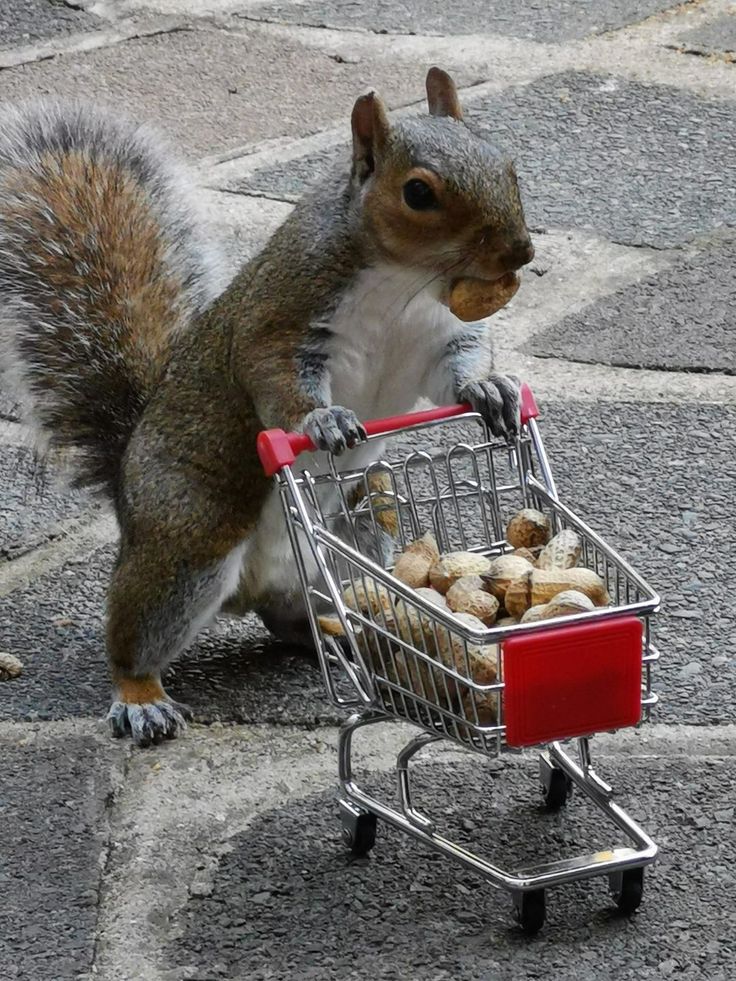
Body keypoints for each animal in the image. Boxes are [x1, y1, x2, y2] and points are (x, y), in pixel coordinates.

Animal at [0, 67, 532, 744]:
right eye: (418, 192)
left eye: (507, 165)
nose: (519, 253)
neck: (403, 281)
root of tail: (123, 486)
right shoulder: (280, 323)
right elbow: (277, 380)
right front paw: (321, 420)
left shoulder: (442, 335)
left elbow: (457, 370)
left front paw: (489, 391)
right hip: (189, 542)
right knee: (133, 635)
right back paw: (141, 695)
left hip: (365, 525)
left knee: (297, 615)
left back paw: (346, 639)